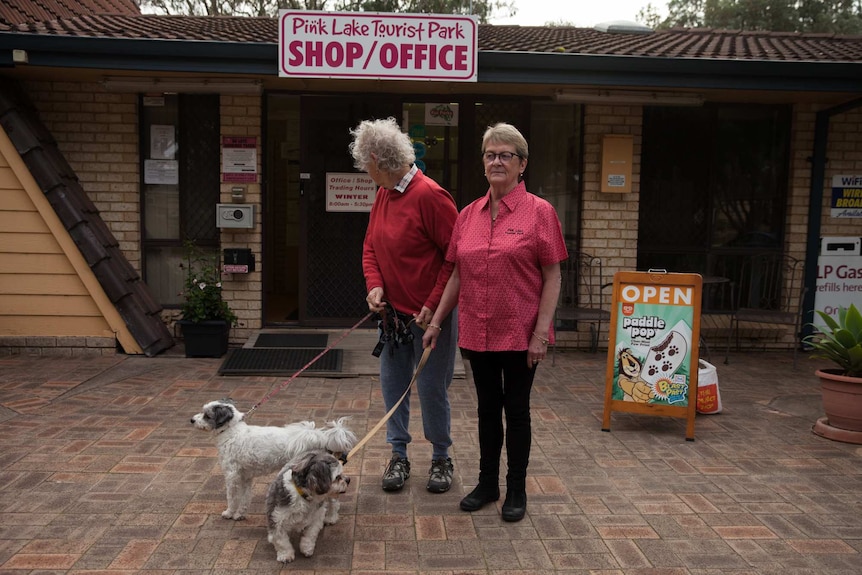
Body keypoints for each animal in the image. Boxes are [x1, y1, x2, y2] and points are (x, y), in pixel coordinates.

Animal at [192, 400, 358, 520]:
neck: (231, 432)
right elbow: (245, 498)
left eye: (207, 415)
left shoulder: (232, 476)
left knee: (333, 499)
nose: (191, 420)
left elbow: (232, 497)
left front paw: (229, 513)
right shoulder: (245, 477)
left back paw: (330, 519)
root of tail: (321, 437)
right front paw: (240, 514)